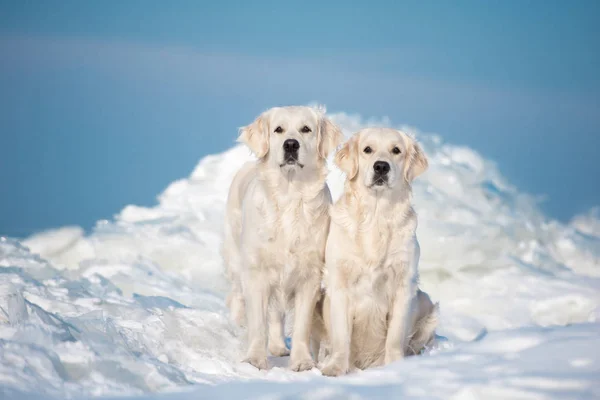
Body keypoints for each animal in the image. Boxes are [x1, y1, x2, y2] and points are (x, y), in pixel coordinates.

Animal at [221, 104, 344, 370]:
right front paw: (255, 359)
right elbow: (258, 323)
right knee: (238, 297)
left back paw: (278, 347)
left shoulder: (308, 276)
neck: (290, 196)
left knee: (277, 314)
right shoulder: (257, 272)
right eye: (278, 129)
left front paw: (302, 361)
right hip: (237, 260)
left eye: (306, 129)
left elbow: (301, 326)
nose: (290, 144)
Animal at [316, 127, 438, 376]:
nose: (381, 166)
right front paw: (335, 367)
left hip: (428, 307)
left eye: (396, 150)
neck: (376, 216)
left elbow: (395, 335)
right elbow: (341, 335)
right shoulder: (340, 283)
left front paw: (395, 366)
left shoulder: (403, 284)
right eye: (367, 149)